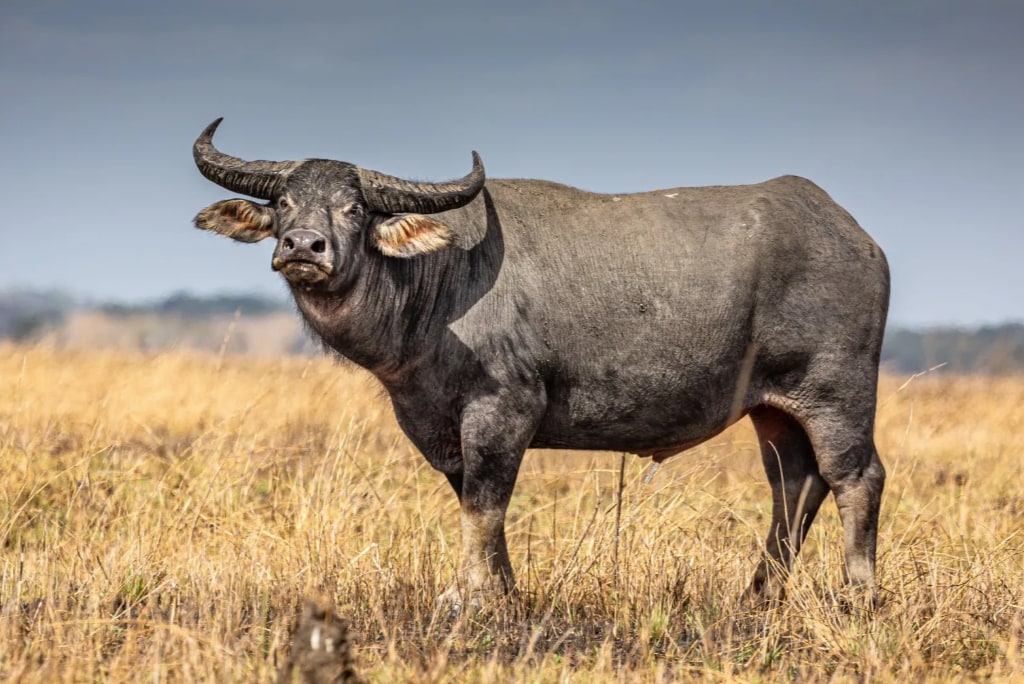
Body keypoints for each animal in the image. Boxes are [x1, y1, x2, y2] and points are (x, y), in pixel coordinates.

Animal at [190, 118, 888, 610]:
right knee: (795, 484)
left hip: (837, 393)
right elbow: (478, 505)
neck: (439, 283)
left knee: (855, 477)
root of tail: (858, 239)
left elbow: (485, 504)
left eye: (356, 207)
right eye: (285, 202)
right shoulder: (442, 428)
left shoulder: (503, 410)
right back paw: (759, 594)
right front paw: (503, 593)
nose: (304, 246)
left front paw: (466, 598)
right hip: (774, 411)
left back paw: (858, 594)